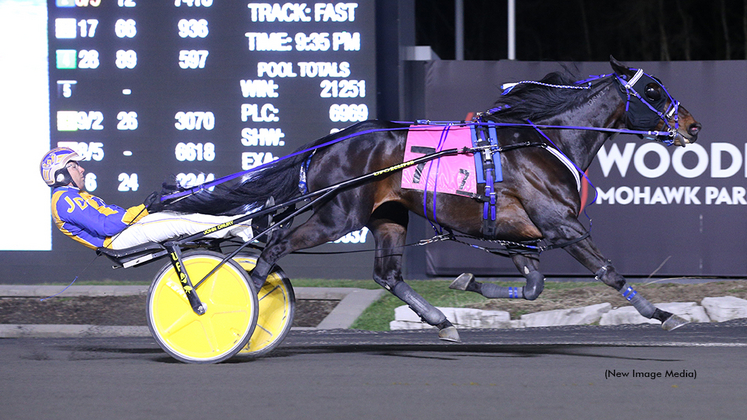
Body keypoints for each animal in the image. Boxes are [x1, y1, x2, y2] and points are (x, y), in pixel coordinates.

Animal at [164, 58, 700, 342]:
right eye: (654, 90)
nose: (693, 126)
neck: (542, 142)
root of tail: (331, 142)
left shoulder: (522, 238)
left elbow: (532, 288)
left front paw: (469, 283)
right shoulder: (562, 227)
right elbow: (608, 272)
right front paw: (665, 315)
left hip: (388, 216)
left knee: (387, 274)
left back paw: (442, 322)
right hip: (336, 213)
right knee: (272, 248)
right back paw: (235, 313)